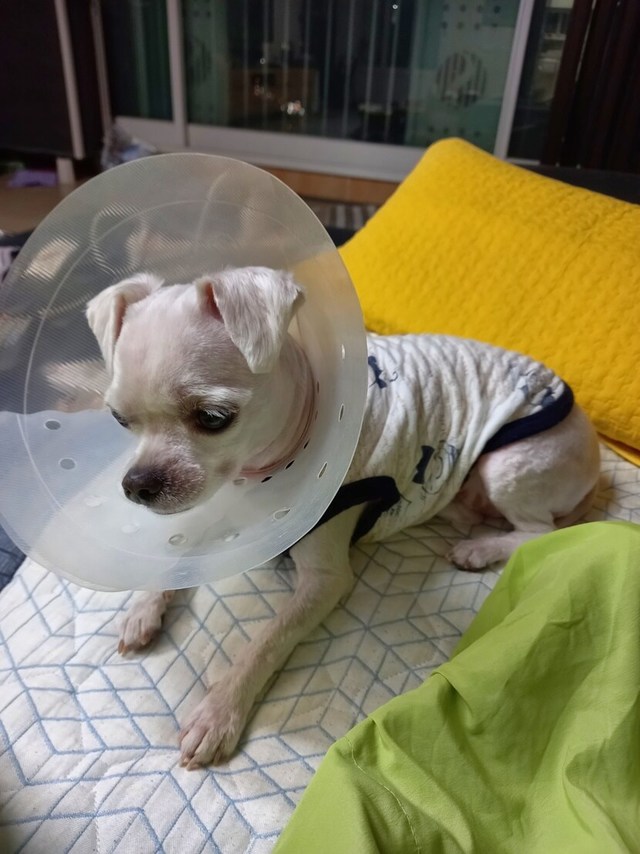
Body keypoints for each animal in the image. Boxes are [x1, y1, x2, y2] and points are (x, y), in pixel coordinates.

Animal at [86, 266, 600, 768]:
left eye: (213, 417)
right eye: (119, 420)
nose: (137, 485)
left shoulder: (325, 581)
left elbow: (267, 639)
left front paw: (218, 711)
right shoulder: (220, 508)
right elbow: (178, 559)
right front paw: (144, 607)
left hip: (510, 465)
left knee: (538, 530)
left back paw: (480, 548)